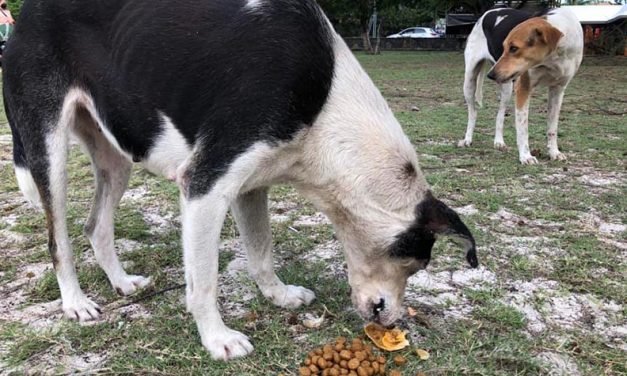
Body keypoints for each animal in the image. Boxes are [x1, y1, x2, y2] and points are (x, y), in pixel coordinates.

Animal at [3, 0, 476, 360]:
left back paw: (120, 281)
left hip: (118, 152)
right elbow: (204, 282)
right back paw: (76, 302)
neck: (326, 110)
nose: (394, 319)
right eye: (415, 264)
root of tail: (26, 12)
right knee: (59, 240)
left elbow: (261, 252)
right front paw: (217, 339)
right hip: (49, 149)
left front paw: (278, 296)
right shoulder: (204, 186)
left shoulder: (251, 185)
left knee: (96, 226)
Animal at [462, 8, 584, 164]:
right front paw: (526, 156)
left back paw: (499, 142)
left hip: (507, 87)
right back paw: (467, 139)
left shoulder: (558, 89)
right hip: (469, 82)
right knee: (473, 112)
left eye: (514, 48)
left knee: (500, 115)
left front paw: (554, 152)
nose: (491, 75)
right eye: (504, 47)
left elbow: (552, 128)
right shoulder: (524, 88)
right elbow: (522, 128)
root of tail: (487, 13)